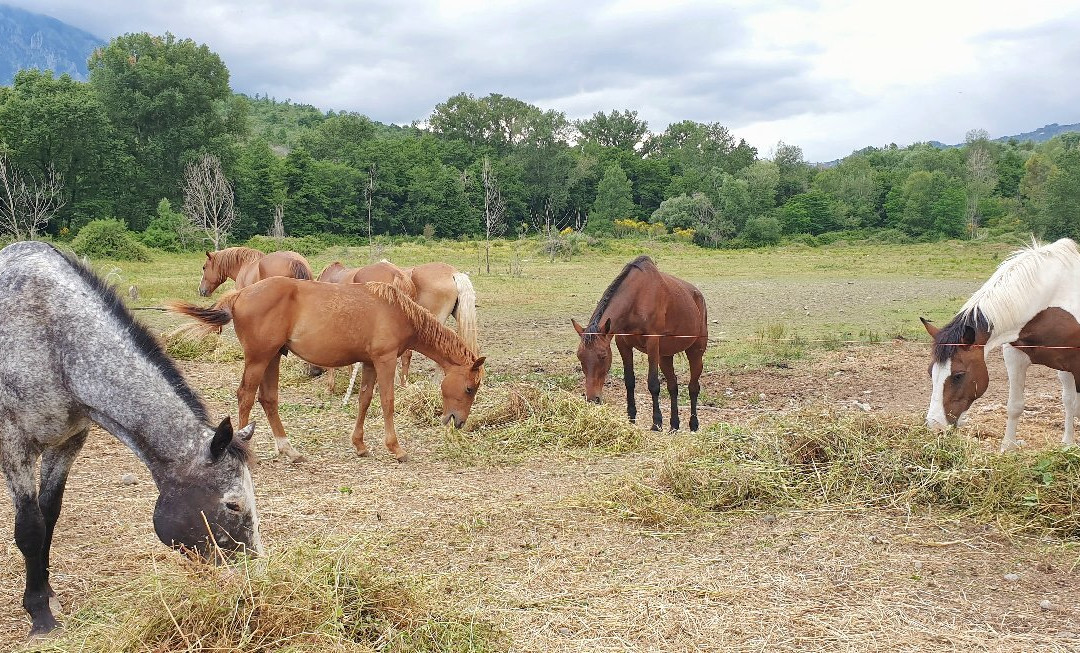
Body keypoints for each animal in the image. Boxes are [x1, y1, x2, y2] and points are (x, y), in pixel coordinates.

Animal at [0, 241, 261, 634]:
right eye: (232, 505)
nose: (252, 573)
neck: (54, 341)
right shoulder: (15, 447)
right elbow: (30, 528)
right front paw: (40, 616)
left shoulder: (68, 442)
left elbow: (49, 515)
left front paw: (48, 596)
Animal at [170, 278, 488, 461]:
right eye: (469, 388)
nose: (458, 421)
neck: (396, 310)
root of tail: (241, 293)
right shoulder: (385, 361)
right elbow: (387, 401)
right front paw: (396, 448)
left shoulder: (370, 362)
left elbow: (364, 400)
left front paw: (359, 445)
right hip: (259, 358)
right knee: (246, 396)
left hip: (272, 358)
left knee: (268, 399)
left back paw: (289, 450)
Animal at [570, 255, 712, 433]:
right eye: (580, 357)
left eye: (602, 356)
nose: (592, 399)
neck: (637, 299)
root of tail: (698, 296)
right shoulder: (623, 343)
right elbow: (629, 381)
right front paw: (631, 417)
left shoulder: (652, 343)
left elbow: (653, 383)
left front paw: (657, 422)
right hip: (665, 356)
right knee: (673, 386)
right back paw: (674, 425)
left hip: (695, 352)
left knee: (693, 387)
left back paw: (693, 424)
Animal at [915, 236, 1080, 451]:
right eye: (930, 372)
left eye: (958, 375)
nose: (936, 426)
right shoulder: (1015, 355)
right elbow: (1015, 405)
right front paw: (1008, 447)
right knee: (1068, 400)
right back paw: (1067, 442)